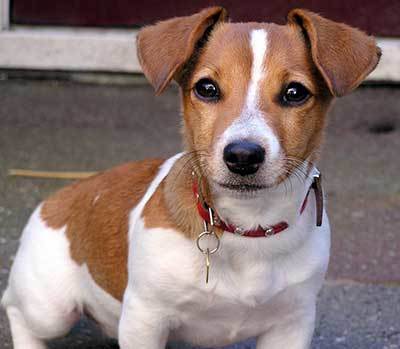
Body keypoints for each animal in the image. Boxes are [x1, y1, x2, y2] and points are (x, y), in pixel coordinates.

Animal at [1, 6, 380, 348]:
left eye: (295, 92)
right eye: (207, 88)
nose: (243, 156)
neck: (246, 226)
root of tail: (58, 197)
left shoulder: (292, 323)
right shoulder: (145, 318)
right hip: (50, 309)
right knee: (16, 309)